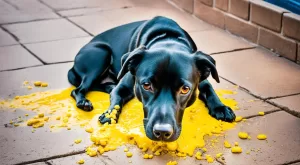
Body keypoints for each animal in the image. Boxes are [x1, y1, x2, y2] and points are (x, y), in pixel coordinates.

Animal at [68, 16, 234, 142]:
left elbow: (209, 88)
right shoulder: (124, 86)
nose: (162, 132)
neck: (168, 40)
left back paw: (108, 86)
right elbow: (116, 99)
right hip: (100, 55)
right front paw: (109, 115)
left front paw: (220, 107)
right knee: (79, 89)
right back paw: (84, 101)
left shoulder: (202, 78)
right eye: (146, 85)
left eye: (185, 89)